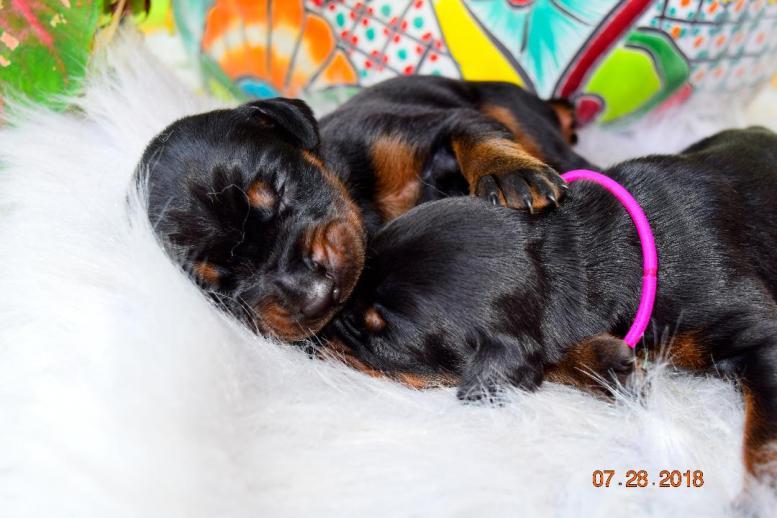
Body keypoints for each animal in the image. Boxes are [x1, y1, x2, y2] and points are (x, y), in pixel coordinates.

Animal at [137, 77, 588, 339]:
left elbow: (474, 133)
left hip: (517, 113)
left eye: (279, 188)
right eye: (219, 285)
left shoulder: (432, 122)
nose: (315, 295)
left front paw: (507, 171)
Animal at [326, 127, 777, 478]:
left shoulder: (758, 326)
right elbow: (552, 358)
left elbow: (763, 436)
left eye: (379, 337)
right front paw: (608, 365)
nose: (321, 327)